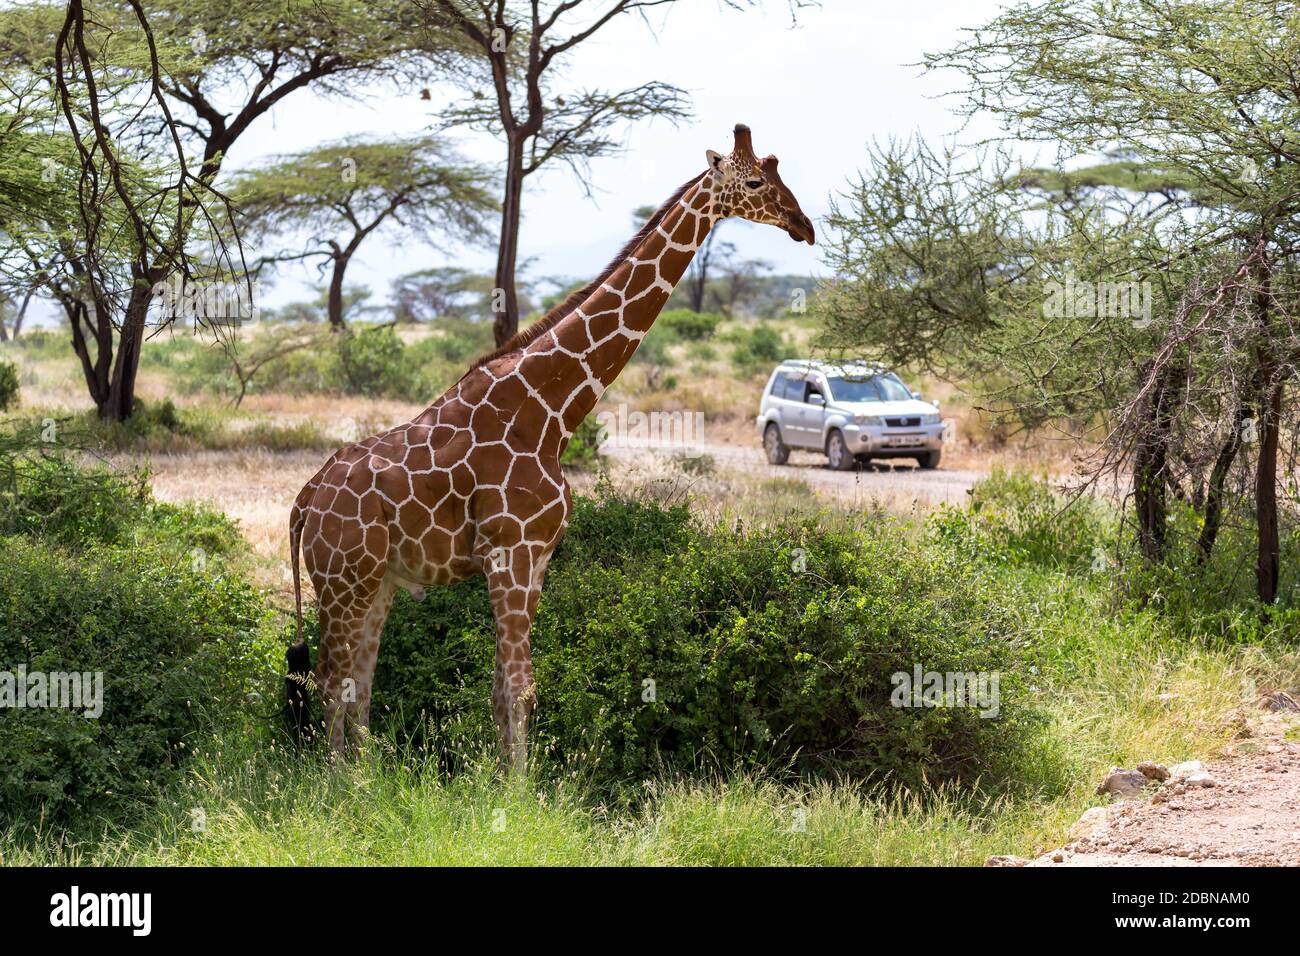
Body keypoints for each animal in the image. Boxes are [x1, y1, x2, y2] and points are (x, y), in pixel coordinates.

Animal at [289, 124, 815, 770]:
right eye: (756, 182)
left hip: (377, 581)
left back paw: (362, 778)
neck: (550, 412)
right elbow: (519, 685)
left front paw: (507, 779)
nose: (803, 225)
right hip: (343, 579)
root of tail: (305, 499)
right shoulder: (507, 552)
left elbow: (503, 688)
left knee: (357, 682)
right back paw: (336, 782)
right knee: (330, 680)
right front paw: (519, 788)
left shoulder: (537, 558)